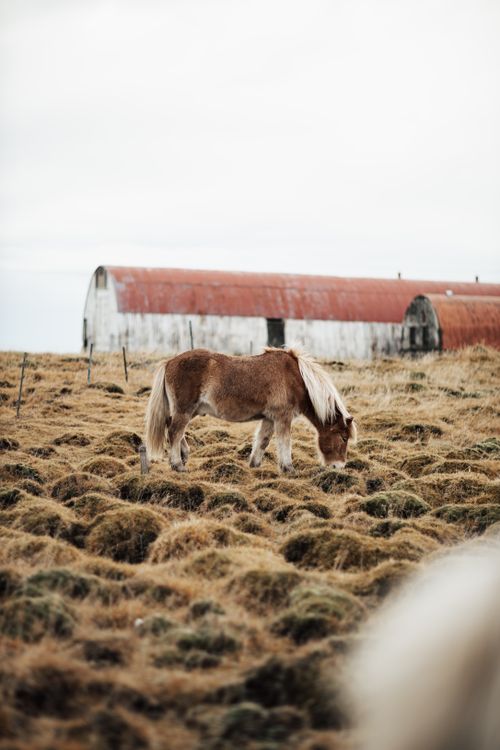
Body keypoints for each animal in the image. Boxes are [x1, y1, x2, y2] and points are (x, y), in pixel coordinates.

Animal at [144, 347, 357, 473]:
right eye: (343, 437)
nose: (339, 466)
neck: (297, 379)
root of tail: (169, 362)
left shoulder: (269, 418)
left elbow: (262, 441)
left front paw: (254, 465)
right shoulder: (282, 418)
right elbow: (285, 442)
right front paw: (288, 468)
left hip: (188, 411)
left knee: (172, 428)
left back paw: (184, 455)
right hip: (185, 410)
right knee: (174, 432)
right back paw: (178, 465)